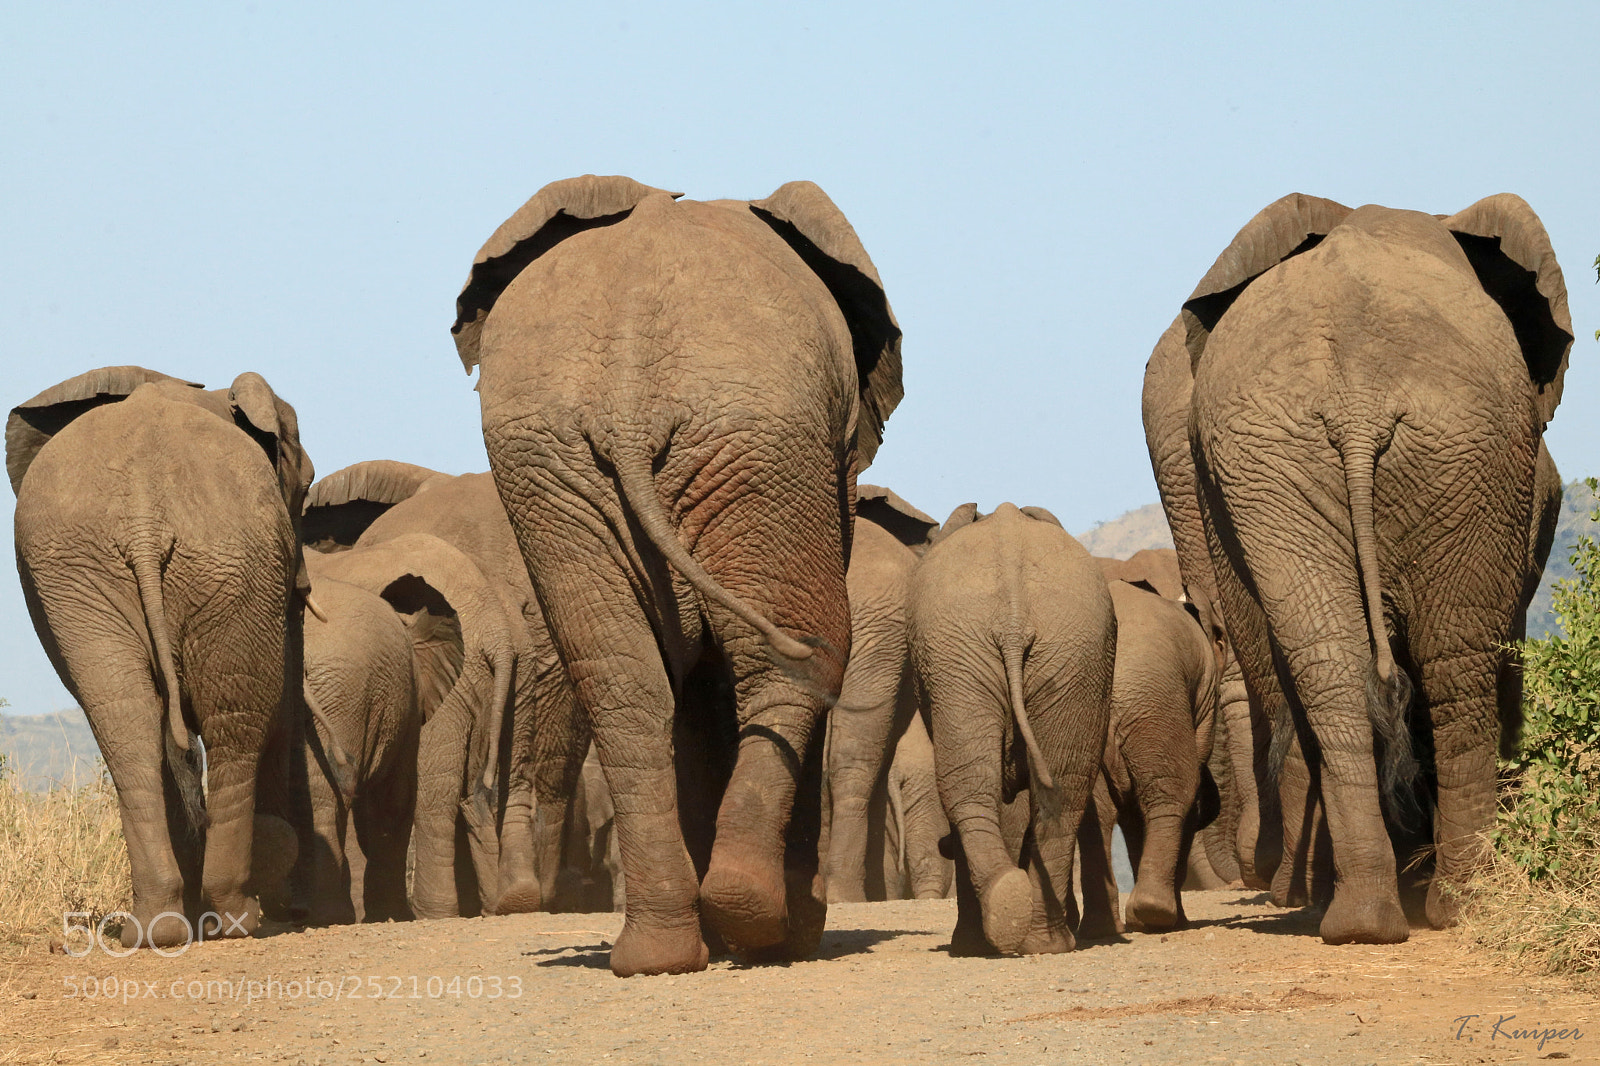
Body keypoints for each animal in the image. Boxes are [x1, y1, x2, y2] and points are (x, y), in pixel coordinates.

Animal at [9, 365, 314, 946]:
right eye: (306, 485)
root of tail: (143, 515)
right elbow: (282, 703)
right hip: (231, 560)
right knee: (237, 717)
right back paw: (237, 919)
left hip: (80, 575)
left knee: (125, 720)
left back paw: (158, 929)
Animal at [454, 174, 903, 976]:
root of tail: (630, 395)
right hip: (760, 444)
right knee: (800, 654)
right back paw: (766, 925)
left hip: (553, 466)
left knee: (621, 682)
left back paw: (660, 953)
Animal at [908, 502, 1115, 955]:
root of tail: (1014, 614)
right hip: (1067, 652)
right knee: (1063, 789)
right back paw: (1036, 934)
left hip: (971, 651)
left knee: (968, 787)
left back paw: (997, 933)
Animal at [1144, 192, 1574, 944]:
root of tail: (1357, 404)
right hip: (1415, 455)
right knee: (1444, 668)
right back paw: (1426, 904)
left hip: (1372, 455)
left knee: (1350, 671)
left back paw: (1377, 914)